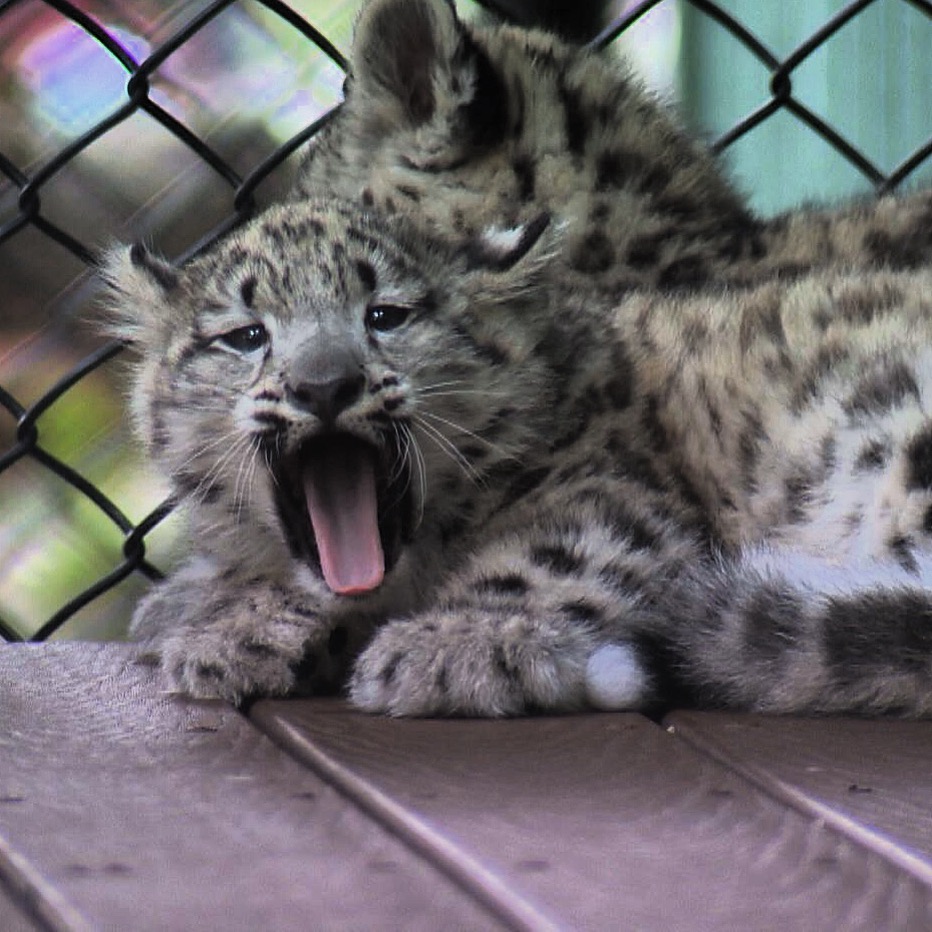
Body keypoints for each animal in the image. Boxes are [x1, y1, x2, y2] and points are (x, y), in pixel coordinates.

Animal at [102, 195, 932, 717]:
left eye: (387, 315)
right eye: (245, 335)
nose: (324, 384)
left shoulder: (613, 493)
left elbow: (551, 559)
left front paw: (452, 647)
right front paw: (217, 622)